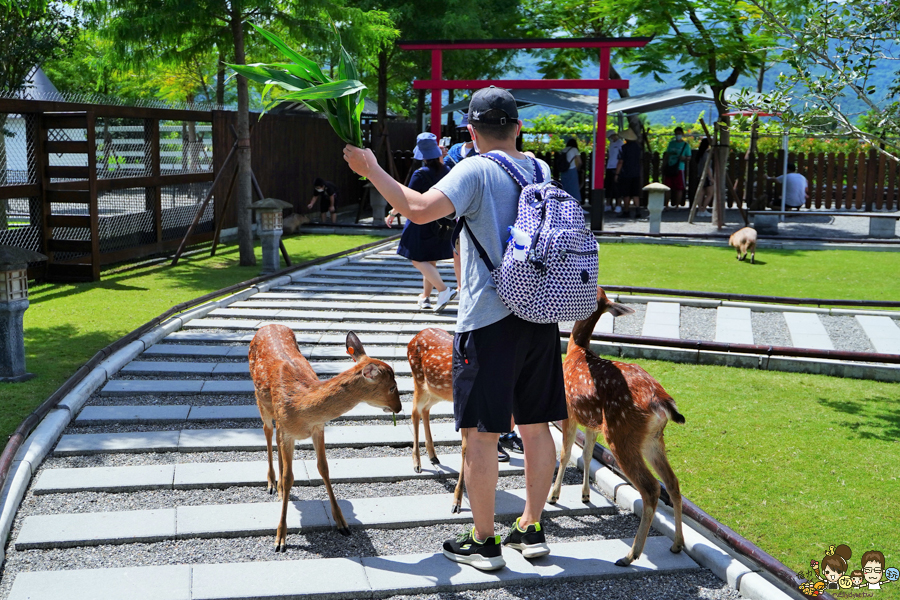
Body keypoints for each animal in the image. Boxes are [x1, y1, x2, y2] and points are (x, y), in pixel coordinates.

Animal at [246, 326, 400, 552]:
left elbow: (324, 468)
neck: (302, 405)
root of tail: (268, 325)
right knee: (267, 431)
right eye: (391, 387)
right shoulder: (288, 431)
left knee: (275, 438)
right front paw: (280, 538)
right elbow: (289, 477)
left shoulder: (318, 428)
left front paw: (342, 523)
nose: (399, 407)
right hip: (260, 400)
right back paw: (272, 484)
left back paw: (280, 489)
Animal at [548, 288, 688, 568]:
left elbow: (566, 454)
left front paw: (554, 496)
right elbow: (586, 454)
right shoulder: (593, 422)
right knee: (673, 483)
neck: (577, 351)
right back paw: (677, 544)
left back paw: (630, 555)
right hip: (652, 439)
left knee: (651, 488)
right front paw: (585, 496)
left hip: (621, 433)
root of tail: (661, 401)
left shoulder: (569, 410)